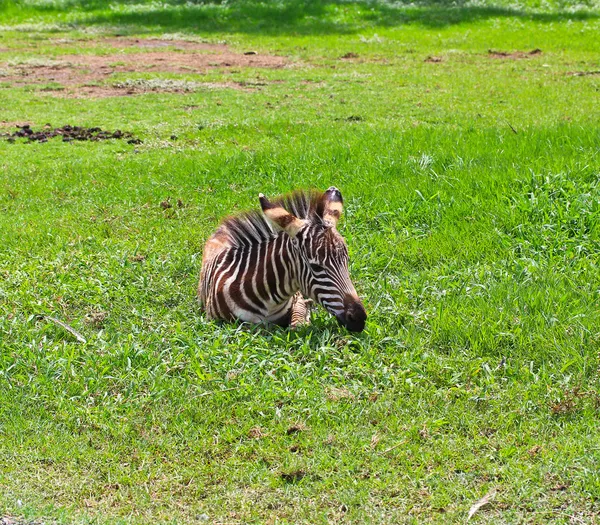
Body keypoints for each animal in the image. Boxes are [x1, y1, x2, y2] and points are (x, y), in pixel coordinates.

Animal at [198, 186, 366, 330]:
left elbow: (296, 323)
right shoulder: (219, 322)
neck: (269, 301)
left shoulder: (297, 300)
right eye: (316, 267)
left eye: (346, 261)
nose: (359, 319)